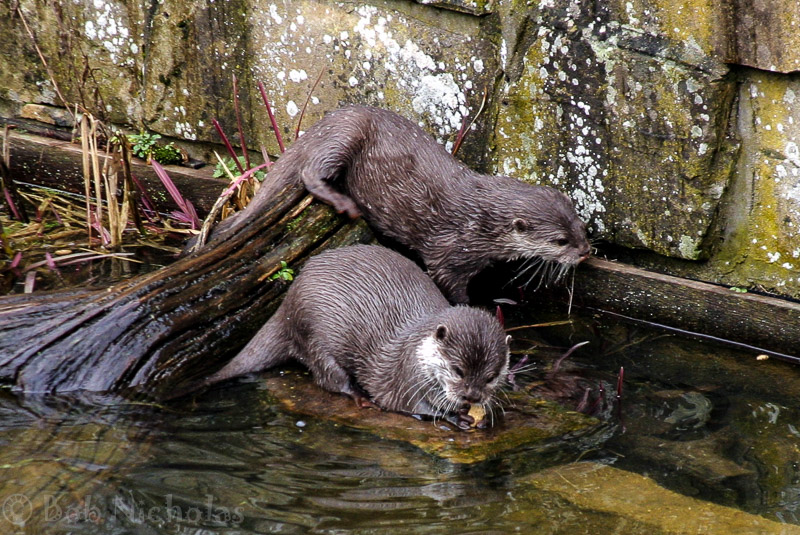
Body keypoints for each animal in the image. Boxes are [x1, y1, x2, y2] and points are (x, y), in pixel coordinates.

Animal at [207, 245, 510, 428]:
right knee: (329, 379)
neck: (418, 352)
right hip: (314, 336)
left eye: (491, 376)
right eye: (458, 371)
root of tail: (287, 303)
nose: (471, 396)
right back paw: (360, 396)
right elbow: (413, 407)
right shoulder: (407, 380)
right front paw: (455, 417)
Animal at [237, 105, 590, 304]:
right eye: (560, 241)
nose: (585, 252)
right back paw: (342, 201)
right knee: (310, 170)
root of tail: (326, 120)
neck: (479, 224)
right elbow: (450, 287)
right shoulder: (448, 253)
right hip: (345, 135)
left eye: (582, 226)